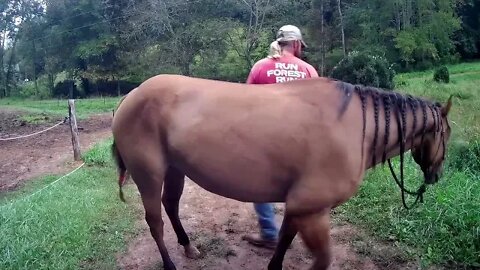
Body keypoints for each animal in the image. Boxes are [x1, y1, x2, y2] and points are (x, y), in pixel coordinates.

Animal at [110, 74, 452, 270]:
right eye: (447, 134)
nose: (436, 174)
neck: (356, 128)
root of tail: (131, 95)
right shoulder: (313, 210)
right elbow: (322, 260)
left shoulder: (300, 206)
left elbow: (284, 241)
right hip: (149, 175)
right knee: (155, 222)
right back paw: (170, 263)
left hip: (174, 170)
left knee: (171, 206)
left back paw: (188, 246)